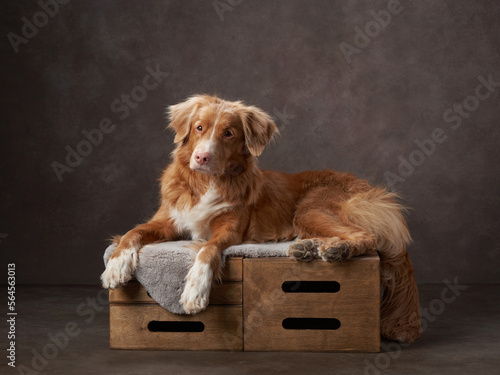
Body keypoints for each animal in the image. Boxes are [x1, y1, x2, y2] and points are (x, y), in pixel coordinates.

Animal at [99, 94, 420, 344]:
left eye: (228, 133)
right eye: (199, 128)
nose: (202, 157)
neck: (208, 182)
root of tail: (369, 189)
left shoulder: (230, 230)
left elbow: (207, 250)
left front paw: (195, 289)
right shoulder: (168, 220)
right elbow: (133, 232)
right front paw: (117, 265)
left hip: (311, 208)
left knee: (368, 237)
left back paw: (335, 249)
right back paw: (310, 248)